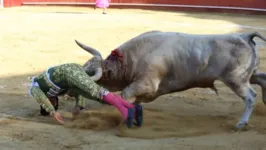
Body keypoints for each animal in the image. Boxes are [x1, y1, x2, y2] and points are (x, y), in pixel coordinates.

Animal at [74, 30, 266, 129]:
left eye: (89, 72)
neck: (131, 58)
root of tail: (245, 36)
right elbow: (135, 101)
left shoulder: (147, 83)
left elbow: (125, 95)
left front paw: (125, 120)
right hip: (250, 75)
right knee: (262, 79)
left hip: (236, 79)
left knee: (250, 96)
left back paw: (241, 123)